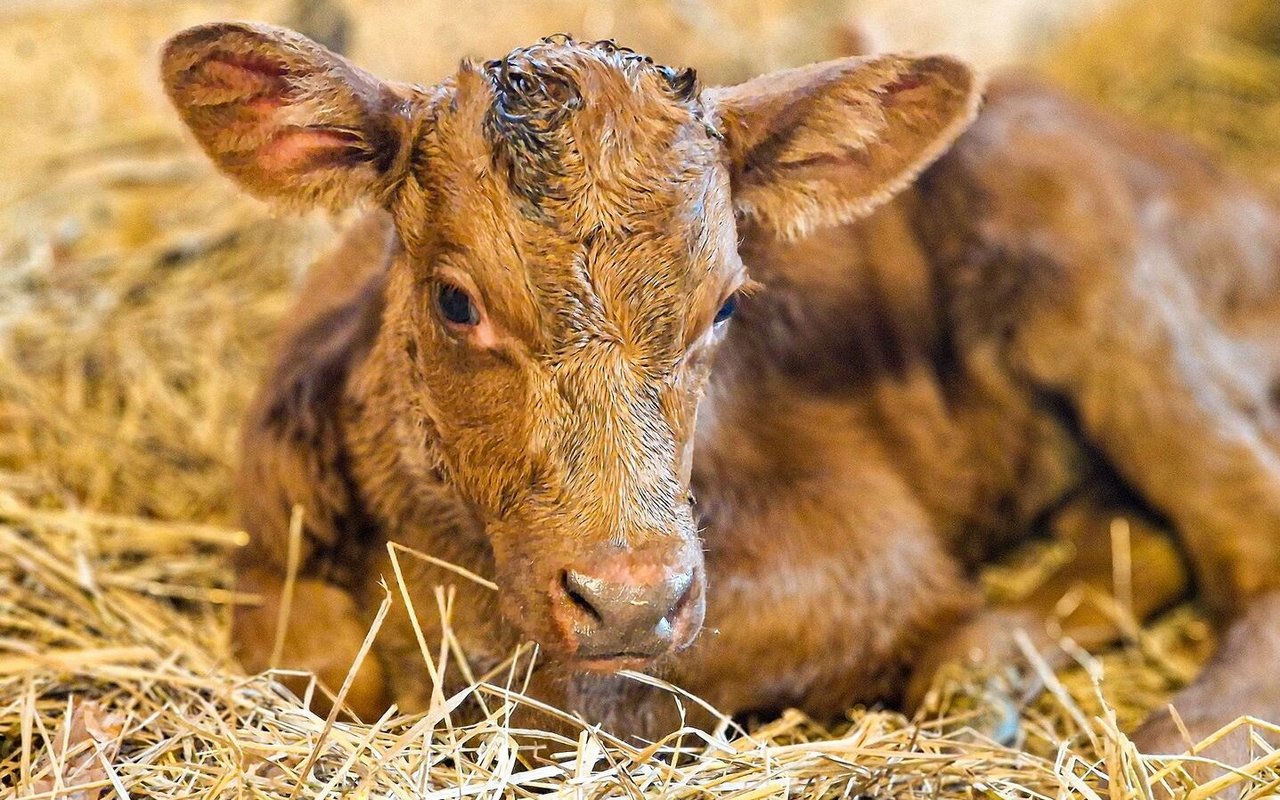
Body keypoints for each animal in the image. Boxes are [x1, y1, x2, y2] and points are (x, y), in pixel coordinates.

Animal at [165, 17, 1280, 752]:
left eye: (727, 306)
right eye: (454, 300)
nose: (628, 598)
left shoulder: (864, 555)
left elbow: (582, 698)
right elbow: (317, 661)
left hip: (1096, 279)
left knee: (1244, 527)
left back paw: (1170, 739)